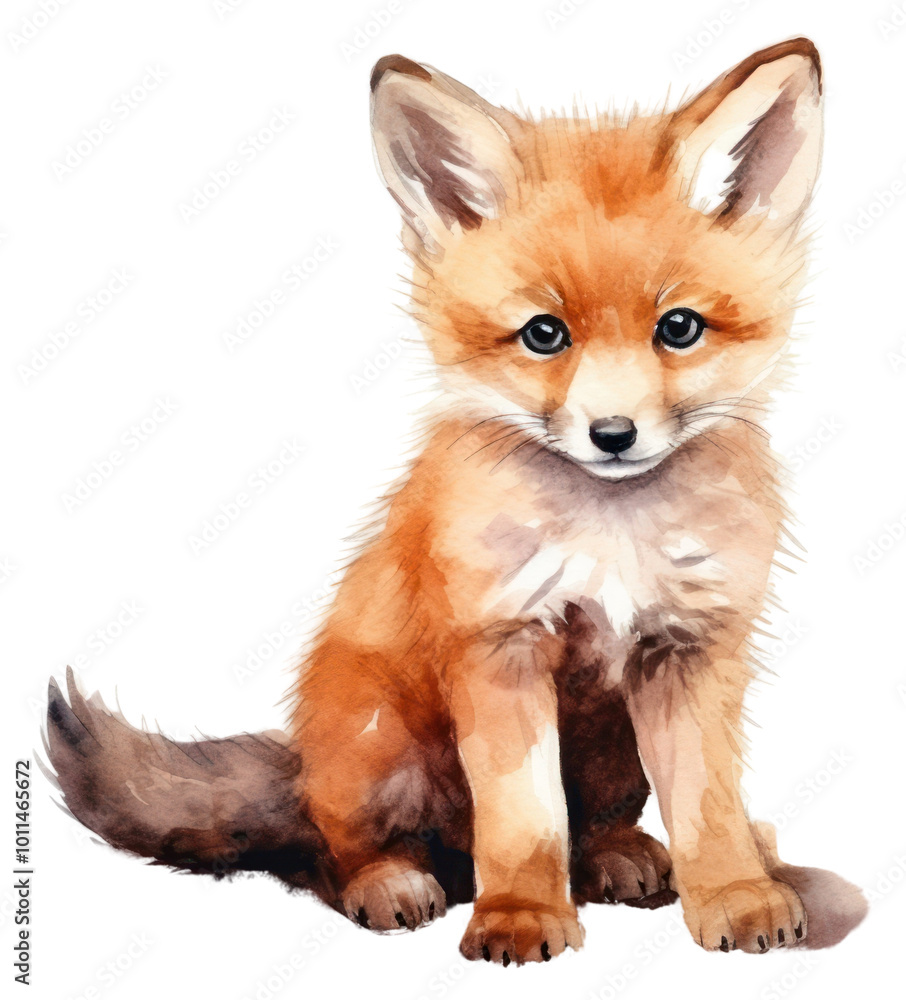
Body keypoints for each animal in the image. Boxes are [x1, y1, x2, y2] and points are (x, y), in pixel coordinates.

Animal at [46, 38, 867, 966]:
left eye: (680, 328)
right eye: (544, 334)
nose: (613, 434)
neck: (609, 537)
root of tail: (300, 757)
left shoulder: (689, 650)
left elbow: (707, 805)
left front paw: (734, 895)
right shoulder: (498, 646)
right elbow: (522, 818)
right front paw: (520, 915)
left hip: (612, 750)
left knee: (593, 829)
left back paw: (622, 857)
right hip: (380, 750)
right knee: (340, 851)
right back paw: (394, 882)